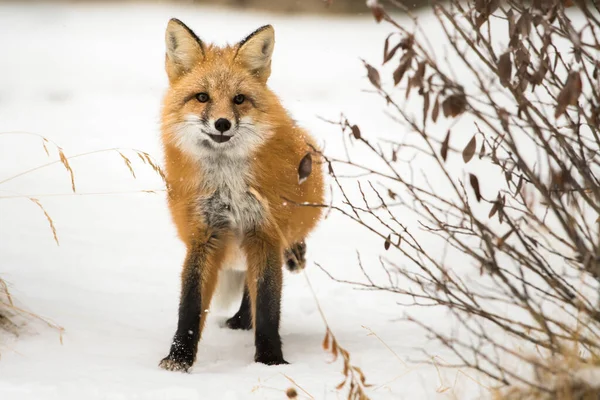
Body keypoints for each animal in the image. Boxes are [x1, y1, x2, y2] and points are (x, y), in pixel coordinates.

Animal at [157, 17, 322, 370]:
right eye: (202, 97)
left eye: (239, 99)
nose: (222, 123)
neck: (227, 184)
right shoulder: (204, 234)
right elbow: (190, 304)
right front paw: (179, 359)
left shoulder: (265, 232)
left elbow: (268, 305)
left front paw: (270, 360)